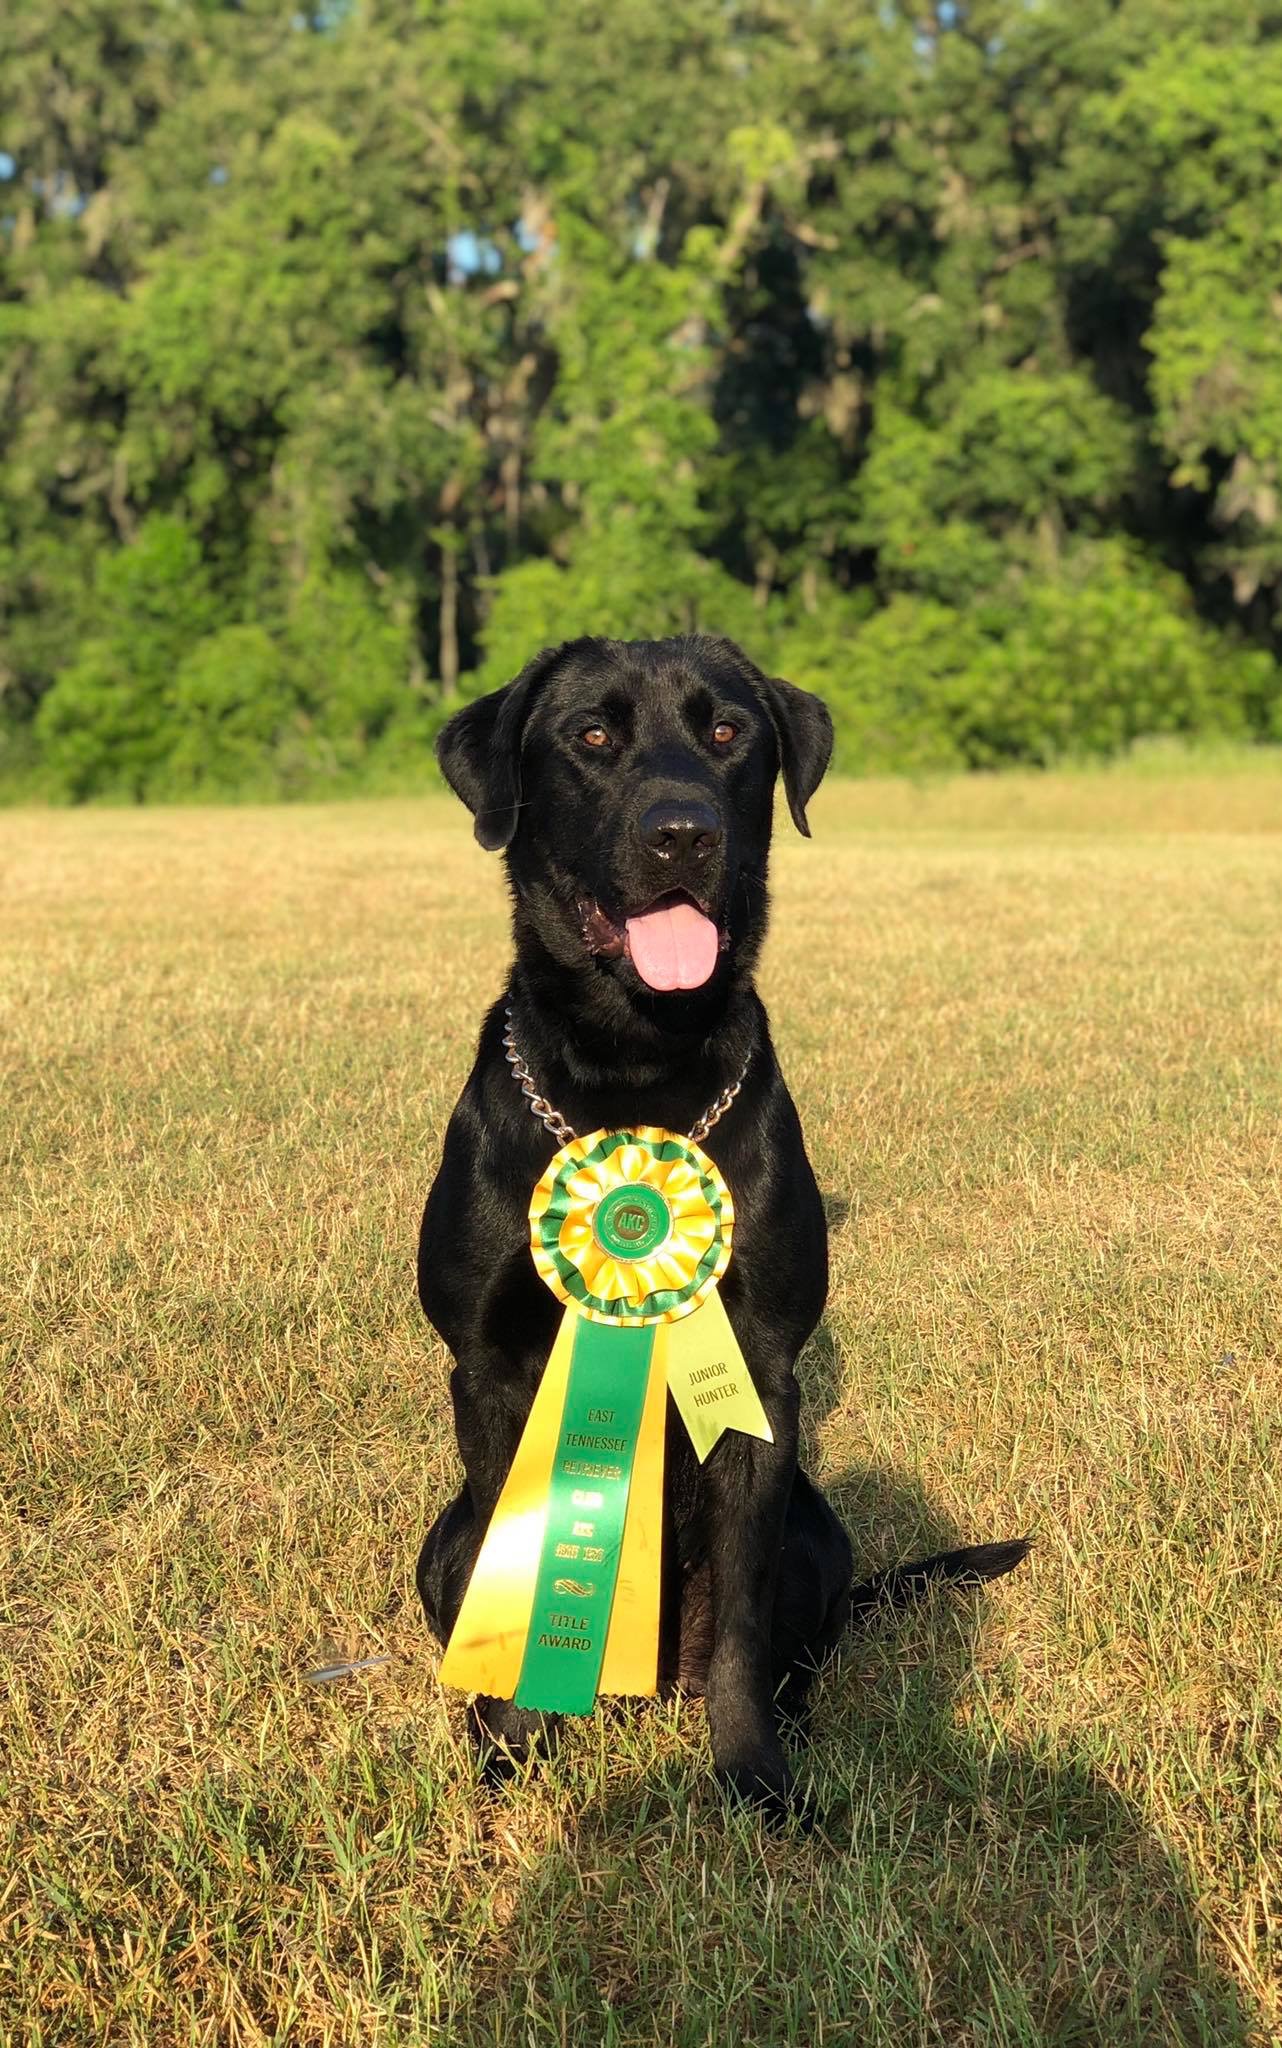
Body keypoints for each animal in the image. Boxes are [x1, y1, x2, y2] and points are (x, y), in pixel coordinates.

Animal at [413, 630, 1023, 1818]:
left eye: (730, 732)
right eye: (592, 734)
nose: (682, 831)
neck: (633, 1067)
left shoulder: (760, 1372)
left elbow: (742, 1624)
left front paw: (755, 1783)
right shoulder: (489, 1371)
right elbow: (516, 1579)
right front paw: (510, 1748)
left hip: (818, 1533)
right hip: (440, 1544)